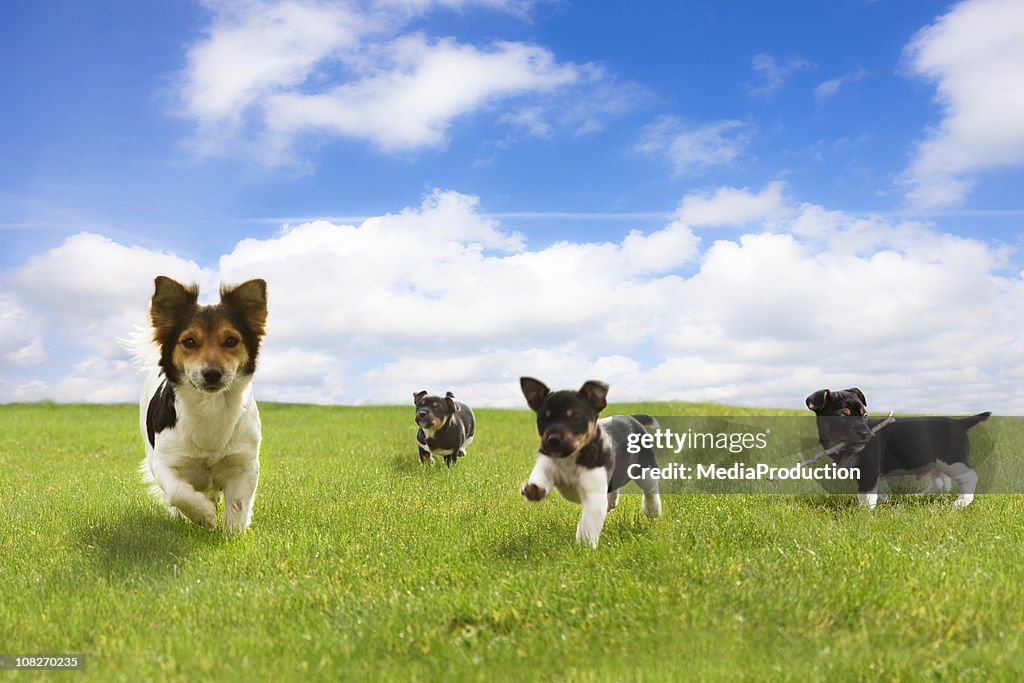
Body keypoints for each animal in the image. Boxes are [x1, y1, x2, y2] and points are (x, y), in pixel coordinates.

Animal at [139, 274, 268, 532]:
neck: (210, 407)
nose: (212, 373)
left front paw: (233, 533)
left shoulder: (244, 463)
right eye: (189, 342)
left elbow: (238, 503)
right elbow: (178, 493)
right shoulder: (165, 462)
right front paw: (204, 515)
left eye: (231, 341)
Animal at [520, 376, 663, 548]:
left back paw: (652, 510)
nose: (552, 440)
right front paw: (533, 489)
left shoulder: (594, 494)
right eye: (542, 419)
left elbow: (589, 524)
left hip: (645, 470)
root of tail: (632, 418)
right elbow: (541, 475)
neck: (570, 458)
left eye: (575, 418)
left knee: (650, 489)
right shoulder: (546, 462)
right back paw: (612, 502)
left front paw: (584, 547)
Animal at [806, 387, 991, 509]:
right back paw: (919, 497)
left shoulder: (869, 470)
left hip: (951, 460)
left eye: (864, 415)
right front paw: (885, 501)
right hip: (936, 463)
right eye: (842, 416)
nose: (867, 434)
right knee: (942, 484)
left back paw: (961, 503)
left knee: (969, 478)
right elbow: (876, 490)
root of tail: (960, 423)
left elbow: (866, 495)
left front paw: (864, 514)